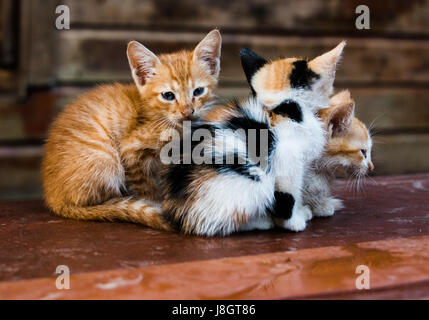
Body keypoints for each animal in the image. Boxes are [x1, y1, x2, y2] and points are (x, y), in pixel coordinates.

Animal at [42, 28, 222, 229]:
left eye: (198, 91)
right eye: (168, 95)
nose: (187, 112)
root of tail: (54, 199)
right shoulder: (130, 151)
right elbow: (146, 190)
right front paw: (157, 205)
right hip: (107, 160)